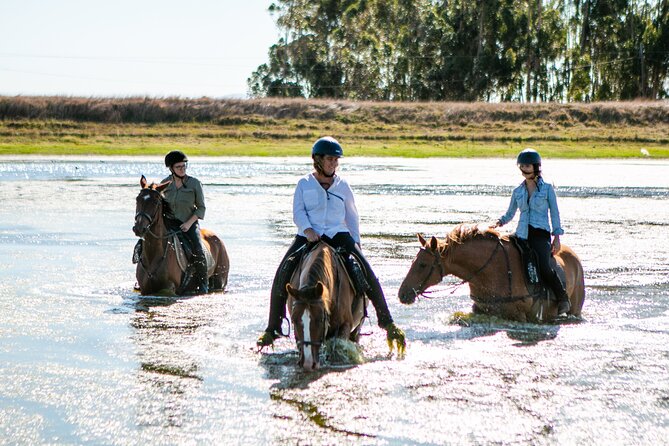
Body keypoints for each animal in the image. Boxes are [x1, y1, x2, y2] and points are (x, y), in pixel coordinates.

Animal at [284, 242, 366, 372]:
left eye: (320, 319)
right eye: (294, 320)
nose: (308, 363)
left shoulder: (346, 324)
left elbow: (338, 348)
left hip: (356, 329)